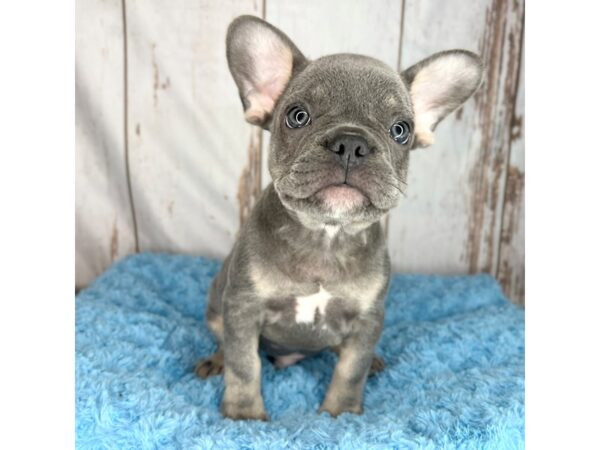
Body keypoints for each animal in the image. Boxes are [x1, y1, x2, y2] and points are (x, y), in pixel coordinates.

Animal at [196, 14, 482, 422]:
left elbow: (351, 369)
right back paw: (215, 360)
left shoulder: (366, 320)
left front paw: (341, 413)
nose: (351, 143)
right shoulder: (242, 309)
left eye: (401, 130)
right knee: (226, 344)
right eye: (297, 116)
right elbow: (244, 365)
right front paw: (244, 416)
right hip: (216, 307)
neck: (326, 236)